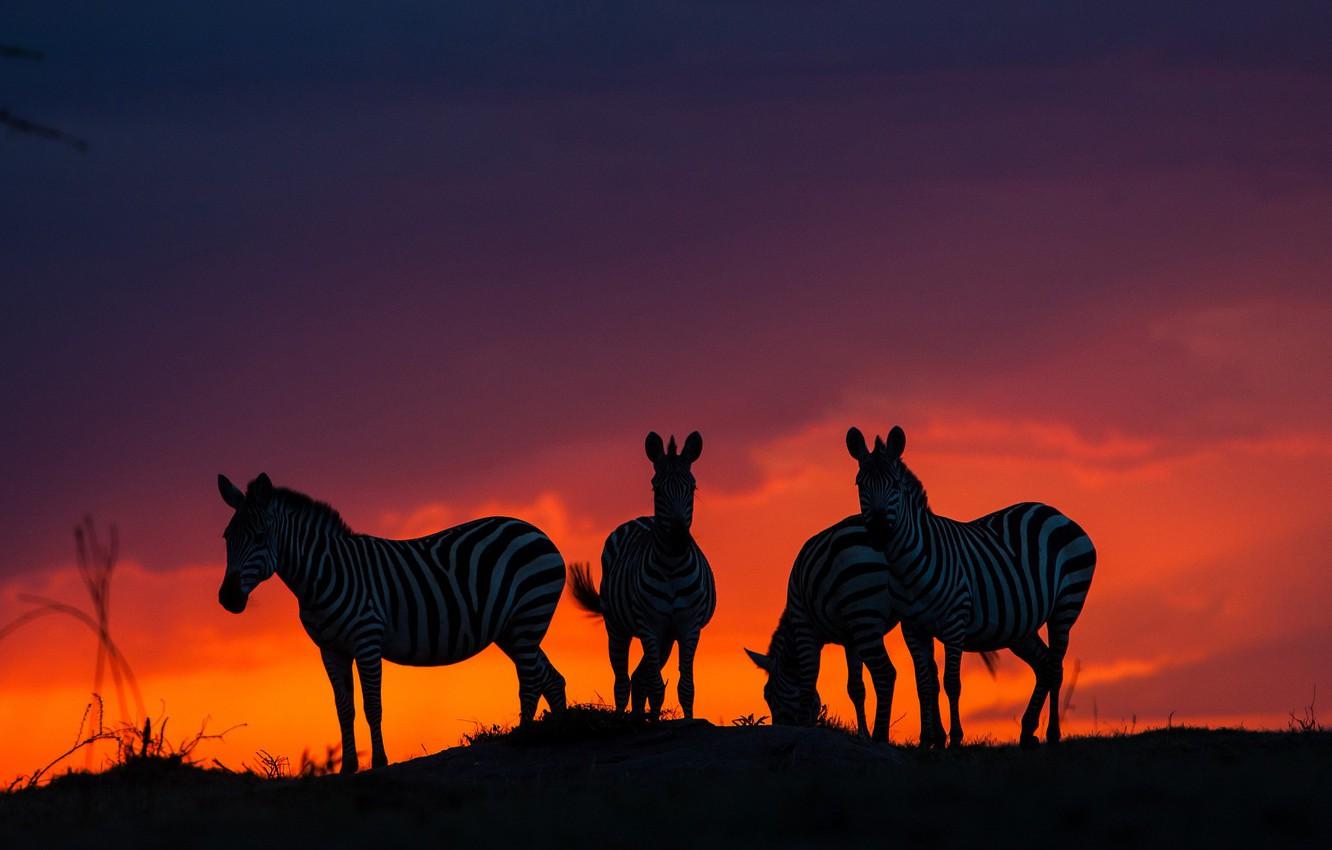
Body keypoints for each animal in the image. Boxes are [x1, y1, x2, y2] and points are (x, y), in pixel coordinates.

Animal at [215, 472, 567, 772]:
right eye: (227, 537)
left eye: (260, 537)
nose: (228, 598)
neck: (322, 575)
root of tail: (535, 530)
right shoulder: (331, 649)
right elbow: (344, 709)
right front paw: (347, 768)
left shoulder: (367, 639)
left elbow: (373, 706)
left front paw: (379, 762)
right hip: (513, 629)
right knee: (551, 678)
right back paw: (558, 732)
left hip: (528, 617)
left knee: (531, 681)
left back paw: (524, 737)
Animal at [568, 431, 716, 719]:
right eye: (656, 489)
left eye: (692, 487)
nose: (679, 540)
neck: (672, 566)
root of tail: (642, 518)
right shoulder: (650, 626)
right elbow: (656, 688)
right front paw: (656, 722)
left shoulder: (688, 626)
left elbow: (686, 687)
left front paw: (687, 721)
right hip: (617, 628)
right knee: (623, 681)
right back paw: (624, 719)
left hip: (665, 637)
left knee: (639, 678)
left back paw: (639, 717)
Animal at [846, 425, 1097, 748]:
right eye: (859, 484)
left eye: (896, 486)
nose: (878, 532)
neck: (907, 567)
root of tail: (1054, 511)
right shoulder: (913, 628)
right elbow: (924, 683)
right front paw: (928, 740)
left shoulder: (955, 622)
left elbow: (952, 683)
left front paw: (954, 739)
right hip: (1020, 626)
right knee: (1043, 665)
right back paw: (1027, 731)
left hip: (1065, 608)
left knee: (1055, 666)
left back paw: (1052, 734)